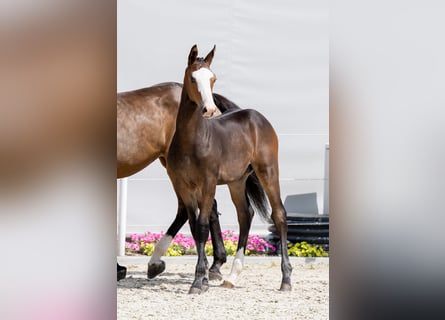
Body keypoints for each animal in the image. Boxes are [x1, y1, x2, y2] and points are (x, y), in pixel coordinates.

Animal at [166, 45, 292, 296]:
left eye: (213, 78)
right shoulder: (184, 186)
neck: (191, 141)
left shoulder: (208, 184)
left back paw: (286, 279)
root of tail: (257, 117)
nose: (209, 109)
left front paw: (198, 281)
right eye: (193, 78)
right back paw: (232, 276)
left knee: (279, 215)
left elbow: (203, 226)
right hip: (237, 181)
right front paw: (204, 278)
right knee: (245, 215)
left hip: (268, 171)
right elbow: (194, 228)